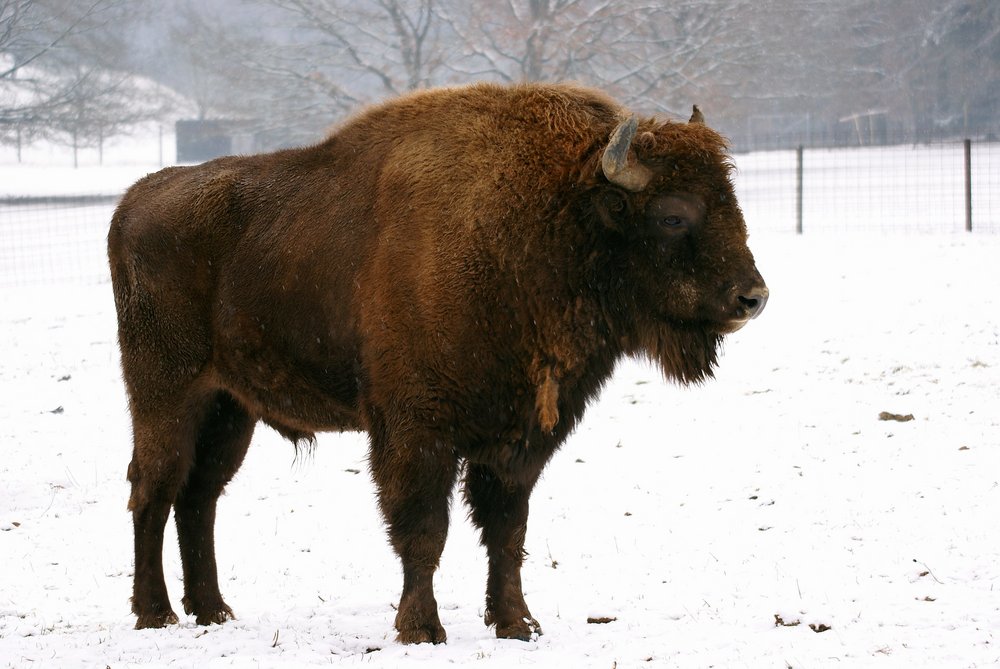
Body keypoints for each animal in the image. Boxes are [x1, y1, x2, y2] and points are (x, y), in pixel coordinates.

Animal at [108, 82, 767, 643]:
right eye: (673, 214)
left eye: (731, 200)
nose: (752, 297)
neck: (549, 216)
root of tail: (134, 200)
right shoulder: (415, 428)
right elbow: (424, 529)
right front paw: (422, 629)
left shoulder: (518, 439)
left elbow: (507, 531)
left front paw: (518, 624)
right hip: (166, 393)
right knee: (154, 488)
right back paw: (156, 614)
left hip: (230, 408)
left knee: (199, 497)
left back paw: (213, 611)